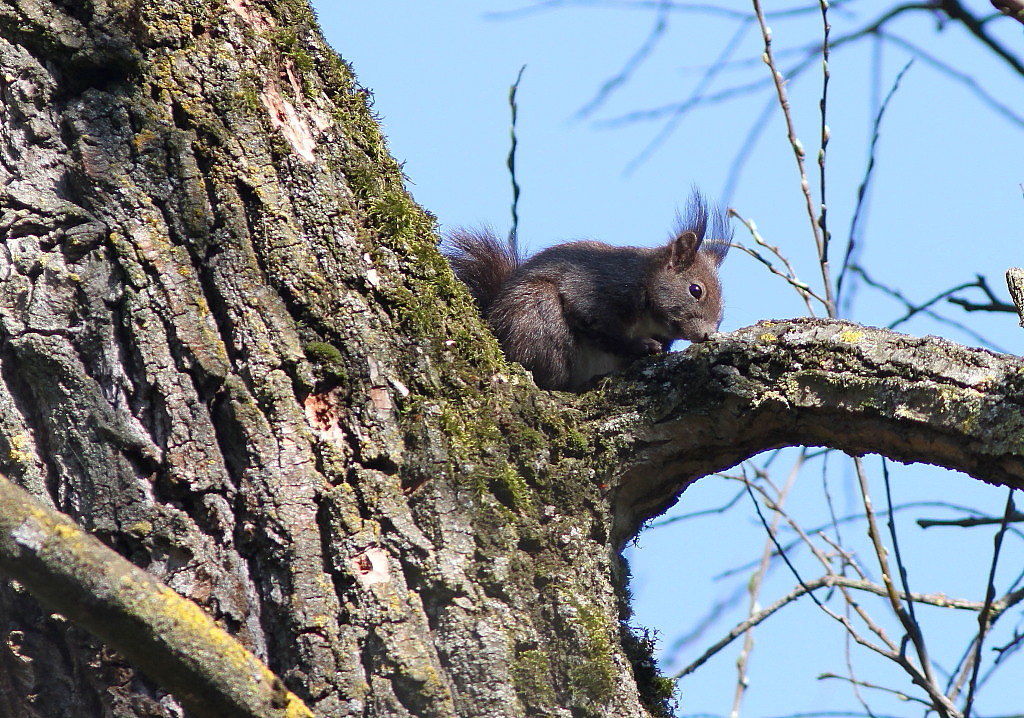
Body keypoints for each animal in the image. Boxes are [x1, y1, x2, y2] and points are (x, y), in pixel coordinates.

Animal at [446, 190, 729, 389]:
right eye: (696, 290)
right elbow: (601, 328)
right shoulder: (598, 289)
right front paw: (643, 345)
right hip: (536, 312)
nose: (707, 334)